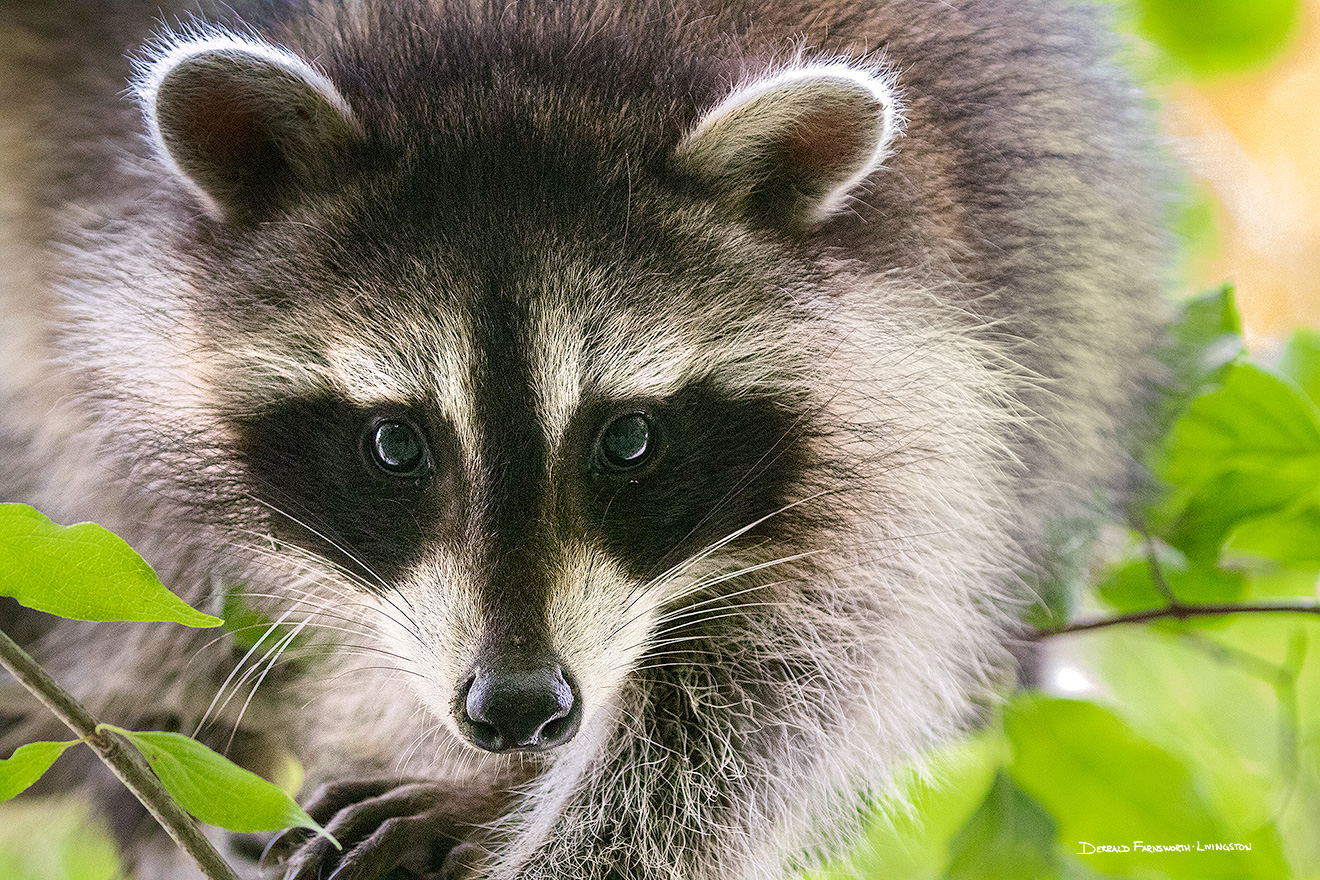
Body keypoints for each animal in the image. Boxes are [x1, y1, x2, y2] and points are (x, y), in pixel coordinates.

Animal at [2, 0, 1166, 876]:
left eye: (630, 439)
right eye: (395, 444)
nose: (517, 710)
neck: (528, 41)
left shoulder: (933, 368)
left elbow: (763, 701)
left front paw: (509, 809)